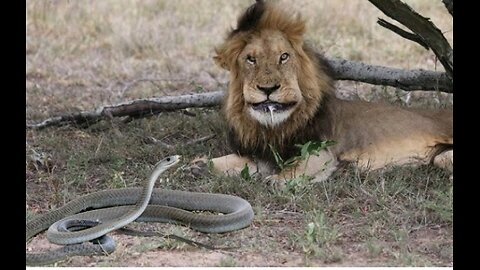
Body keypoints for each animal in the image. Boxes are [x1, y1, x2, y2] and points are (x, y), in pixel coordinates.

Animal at [204, 0, 452, 184]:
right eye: (251, 59)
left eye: (284, 57)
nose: (268, 89)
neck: (275, 128)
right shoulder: (261, 154)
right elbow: (216, 162)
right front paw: (198, 166)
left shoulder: (321, 152)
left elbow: (292, 171)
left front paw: (275, 180)